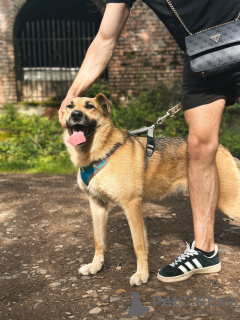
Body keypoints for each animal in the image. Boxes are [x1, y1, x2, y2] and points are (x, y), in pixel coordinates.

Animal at [62, 94, 240, 286]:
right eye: (70, 106)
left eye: (90, 106)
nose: (76, 115)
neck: (100, 152)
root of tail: (223, 148)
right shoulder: (97, 205)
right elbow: (99, 241)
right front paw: (95, 266)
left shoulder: (132, 205)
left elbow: (139, 245)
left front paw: (142, 274)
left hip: (230, 202)